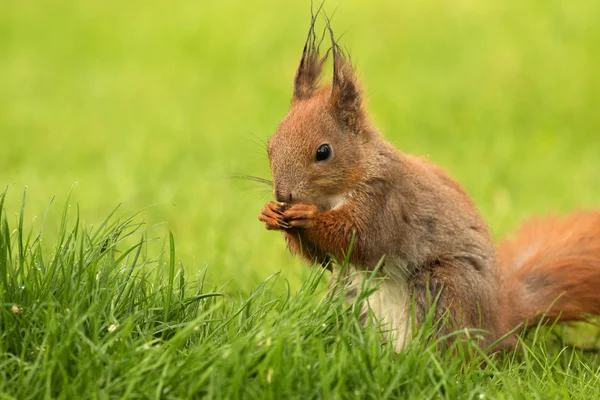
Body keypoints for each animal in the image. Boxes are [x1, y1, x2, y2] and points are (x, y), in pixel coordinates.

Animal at [256, 10, 600, 352]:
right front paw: (271, 214)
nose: (284, 194)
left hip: (444, 288)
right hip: (348, 293)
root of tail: (498, 320)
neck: (336, 193)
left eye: (323, 151)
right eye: (270, 145)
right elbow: (322, 257)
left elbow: (359, 238)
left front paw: (308, 216)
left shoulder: (385, 200)